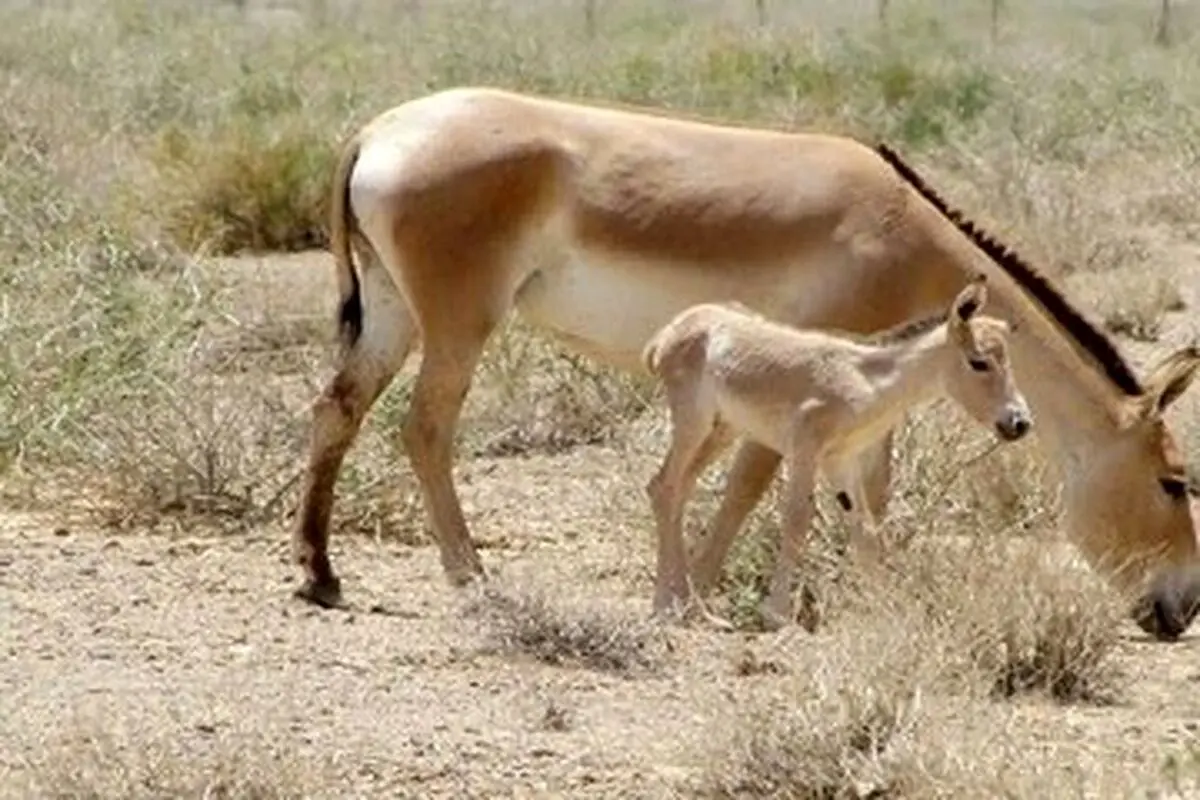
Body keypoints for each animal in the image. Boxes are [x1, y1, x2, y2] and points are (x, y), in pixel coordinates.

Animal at [648, 278, 1032, 628]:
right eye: (979, 362)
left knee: (676, 488)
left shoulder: (840, 460)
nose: (1020, 422)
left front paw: (886, 610)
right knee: (665, 487)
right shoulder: (805, 447)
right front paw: (777, 615)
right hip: (693, 421)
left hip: (723, 430)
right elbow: (797, 520)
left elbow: (864, 532)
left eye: (1009, 361)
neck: (869, 382)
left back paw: (690, 606)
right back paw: (665, 604)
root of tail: (671, 330)